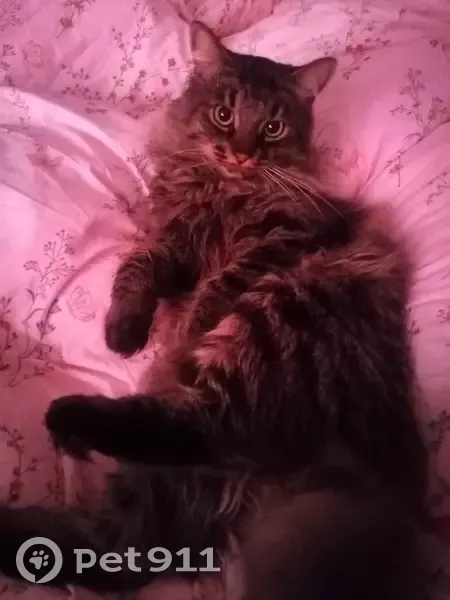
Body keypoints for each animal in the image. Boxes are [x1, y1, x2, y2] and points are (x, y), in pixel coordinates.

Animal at [0, 21, 430, 597]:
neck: (221, 190)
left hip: (279, 315)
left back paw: (74, 413)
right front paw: (124, 331)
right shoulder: (174, 245)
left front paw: (188, 329)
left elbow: (215, 289)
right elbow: (137, 266)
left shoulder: (279, 241)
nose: (240, 153)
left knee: (201, 429)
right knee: (116, 547)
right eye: (224, 115)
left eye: (272, 126)